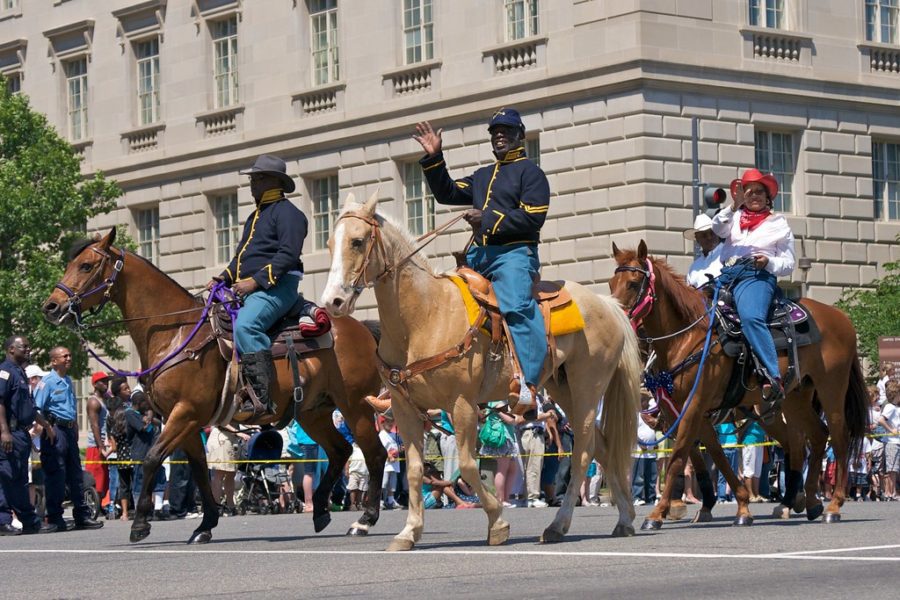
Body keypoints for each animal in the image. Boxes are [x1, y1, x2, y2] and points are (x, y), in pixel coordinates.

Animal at [42, 229, 386, 544]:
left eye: (86, 265)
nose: (51, 307)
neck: (176, 333)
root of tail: (361, 328)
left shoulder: (185, 413)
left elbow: (152, 457)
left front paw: (140, 525)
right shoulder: (187, 421)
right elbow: (198, 470)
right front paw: (205, 525)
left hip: (356, 407)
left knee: (374, 454)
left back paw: (365, 520)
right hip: (313, 412)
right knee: (342, 450)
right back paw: (322, 512)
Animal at [320, 195, 644, 552]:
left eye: (358, 241)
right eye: (330, 243)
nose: (332, 301)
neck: (423, 317)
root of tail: (607, 303)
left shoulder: (461, 403)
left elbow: (466, 464)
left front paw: (497, 520)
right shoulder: (405, 408)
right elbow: (416, 470)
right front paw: (409, 531)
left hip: (587, 387)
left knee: (584, 452)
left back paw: (559, 525)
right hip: (564, 390)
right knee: (603, 446)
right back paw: (624, 518)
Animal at [608, 241, 868, 528]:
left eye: (633, 283)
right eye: (611, 283)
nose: (618, 320)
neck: (686, 339)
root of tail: (841, 318)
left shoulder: (693, 408)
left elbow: (678, 457)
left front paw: (658, 513)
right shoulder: (684, 413)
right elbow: (712, 456)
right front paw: (737, 505)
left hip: (831, 390)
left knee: (837, 437)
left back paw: (832, 505)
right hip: (795, 398)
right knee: (814, 437)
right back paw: (808, 502)